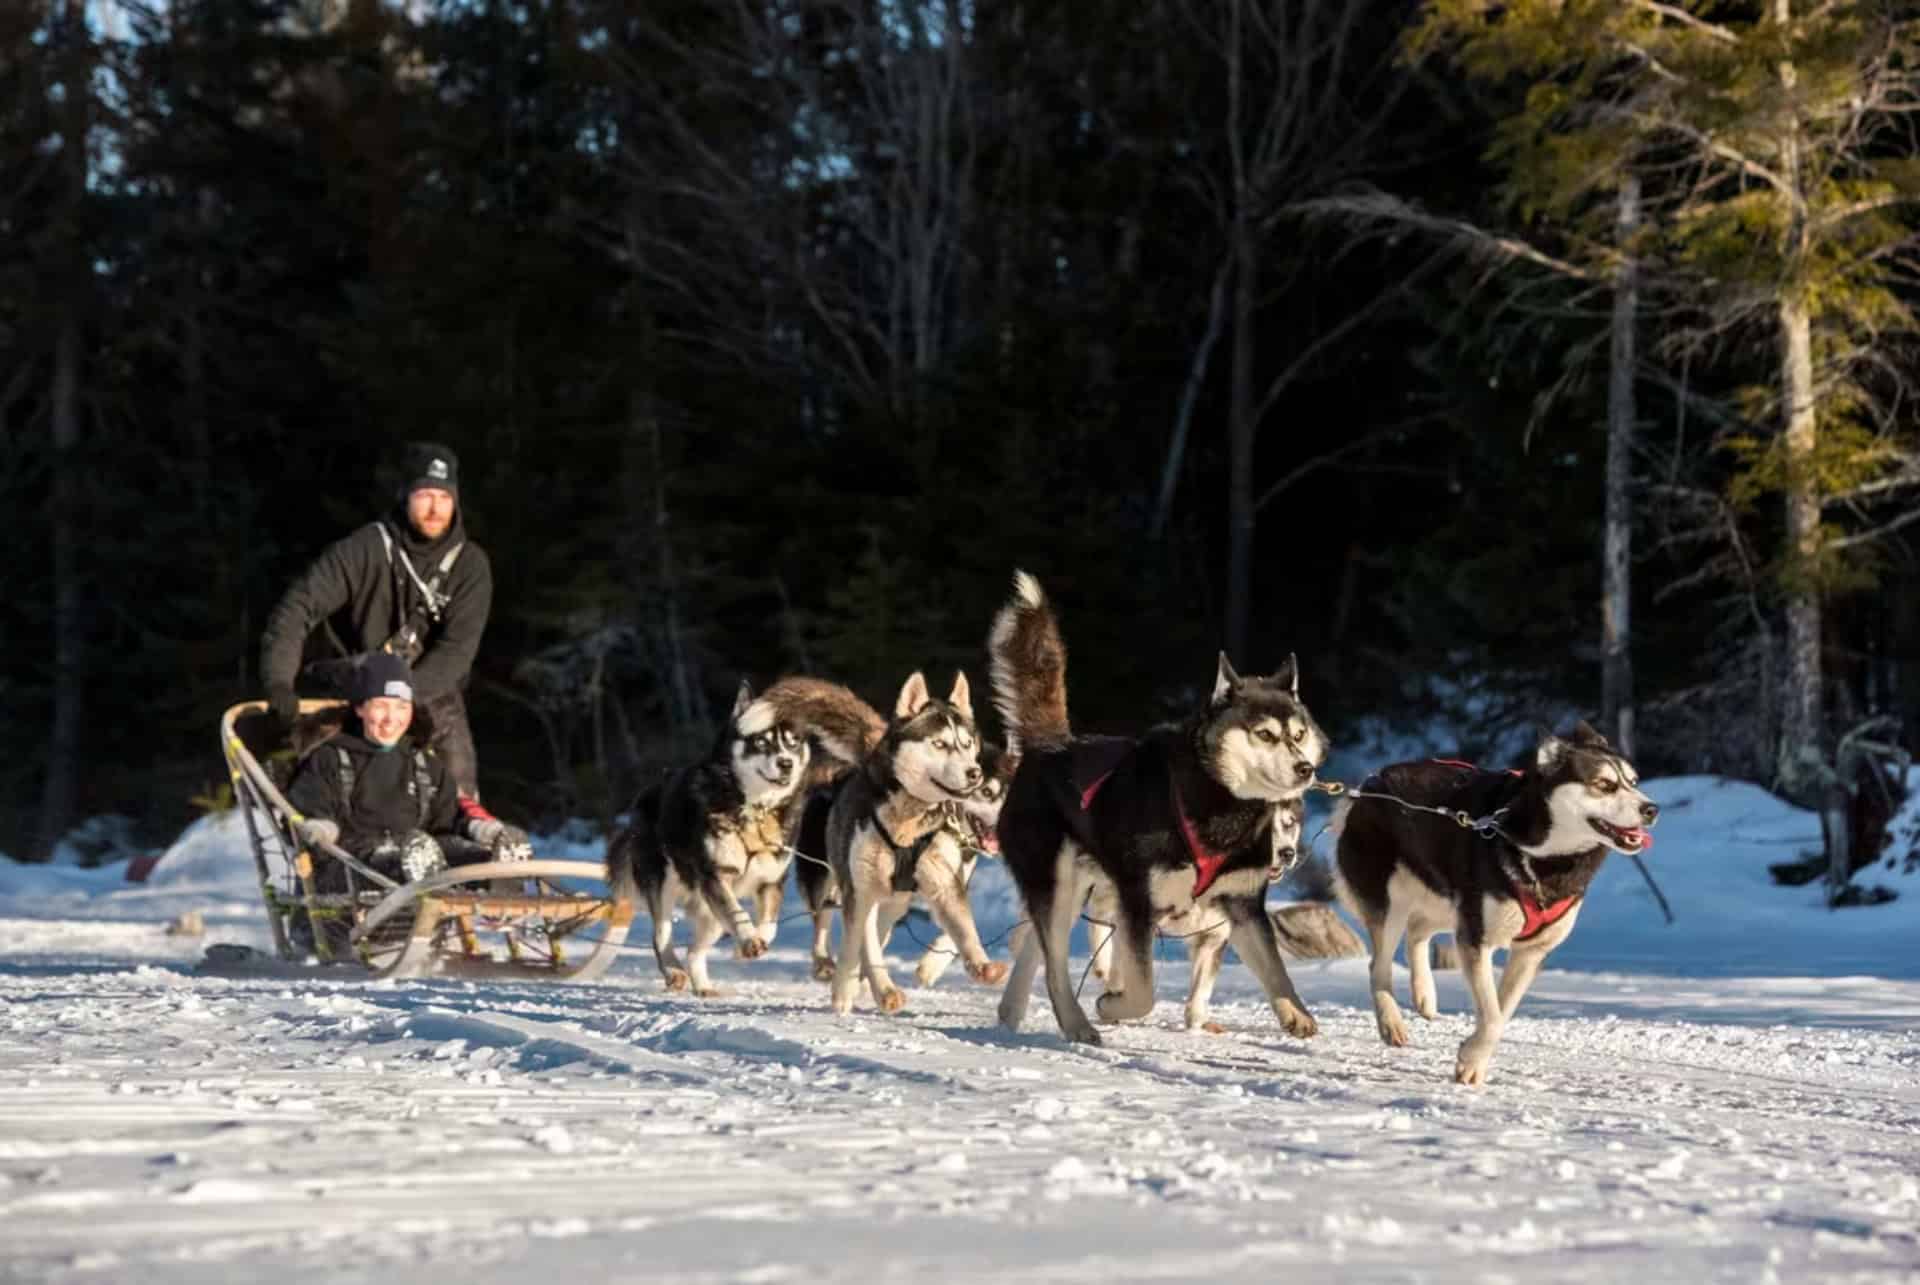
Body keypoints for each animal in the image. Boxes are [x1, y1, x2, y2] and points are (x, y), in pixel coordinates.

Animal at [610, 676, 879, 998]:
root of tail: (646, 795)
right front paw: (749, 940)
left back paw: (703, 986)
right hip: (664, 884)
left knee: (694, 950)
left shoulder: (771, 881)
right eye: (761, 741)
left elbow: (770, 925)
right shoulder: (717, 877)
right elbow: (738, 914)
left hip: (710, 913)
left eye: (793, 742)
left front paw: (750, 944)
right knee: (661, 934)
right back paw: (673, 970)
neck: (755, 809)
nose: (786, 763)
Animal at [821, 672, 1013, 1014]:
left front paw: (981, 965)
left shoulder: (944, 882)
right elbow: (861, 944)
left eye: (966, 744)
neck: (907, 823)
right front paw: (864, 989)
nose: (973, 773)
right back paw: (859, 985)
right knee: (860, 940)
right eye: (939, 744)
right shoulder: (861, 889)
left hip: (896, 901)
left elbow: (963, 929)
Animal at [983, 572, 1328, 1044]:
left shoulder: (1242, 905)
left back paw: (1012, 1013)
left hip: (1073, 890)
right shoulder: (1137, 903)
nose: (1305, 768)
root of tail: (1050, 745)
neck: (1218, 806)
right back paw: (1077, 1023)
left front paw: (1295, 1013)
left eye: (1298, 733)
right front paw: (1112, 1005)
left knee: (1039, 950)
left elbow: (1275, 970)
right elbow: (1142, 991)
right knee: (1054, 965)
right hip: (1056, 881)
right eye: (1265, 735)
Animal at [1336, 722, 1666, 1083]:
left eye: (1634, 782)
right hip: (1394, 903)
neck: (1544, 857)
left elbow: (1502, 1011)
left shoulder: (1530, 951)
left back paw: (1425, 995)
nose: (1651, 809)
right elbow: (1493, 1017)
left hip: (1448, 903)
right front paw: (1470, 1059)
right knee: (1378, 965)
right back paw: (1391, 1022)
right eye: (1604, 785)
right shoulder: (1478, 939)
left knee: (1417, 932)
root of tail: (1370, 783)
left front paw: (1473, 1058)